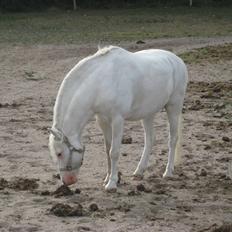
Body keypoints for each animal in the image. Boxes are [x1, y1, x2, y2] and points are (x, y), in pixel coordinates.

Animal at [48, 44, 188, 190]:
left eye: (59, 153)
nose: (67, 181)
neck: (100, 83)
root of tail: (177, 60)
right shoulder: (103, 121)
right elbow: (107, 150)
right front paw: (107, 178)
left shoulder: (117, 120)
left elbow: (114, 152)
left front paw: (112, 183)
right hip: (148, 113)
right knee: (150, 140)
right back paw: (139, 171)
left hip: (174, 107)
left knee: (173, 139)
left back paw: (168, 172)